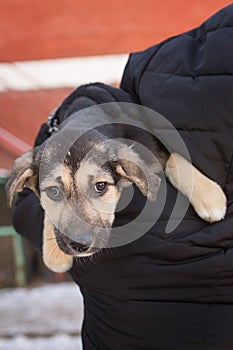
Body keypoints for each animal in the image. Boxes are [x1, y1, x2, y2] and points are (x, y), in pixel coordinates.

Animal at [5, 101, 228, 274]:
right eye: (53, 192)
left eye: (100, 186)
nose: (80, 244)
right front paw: (55, 254)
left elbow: (174, 159)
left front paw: (211, 197)